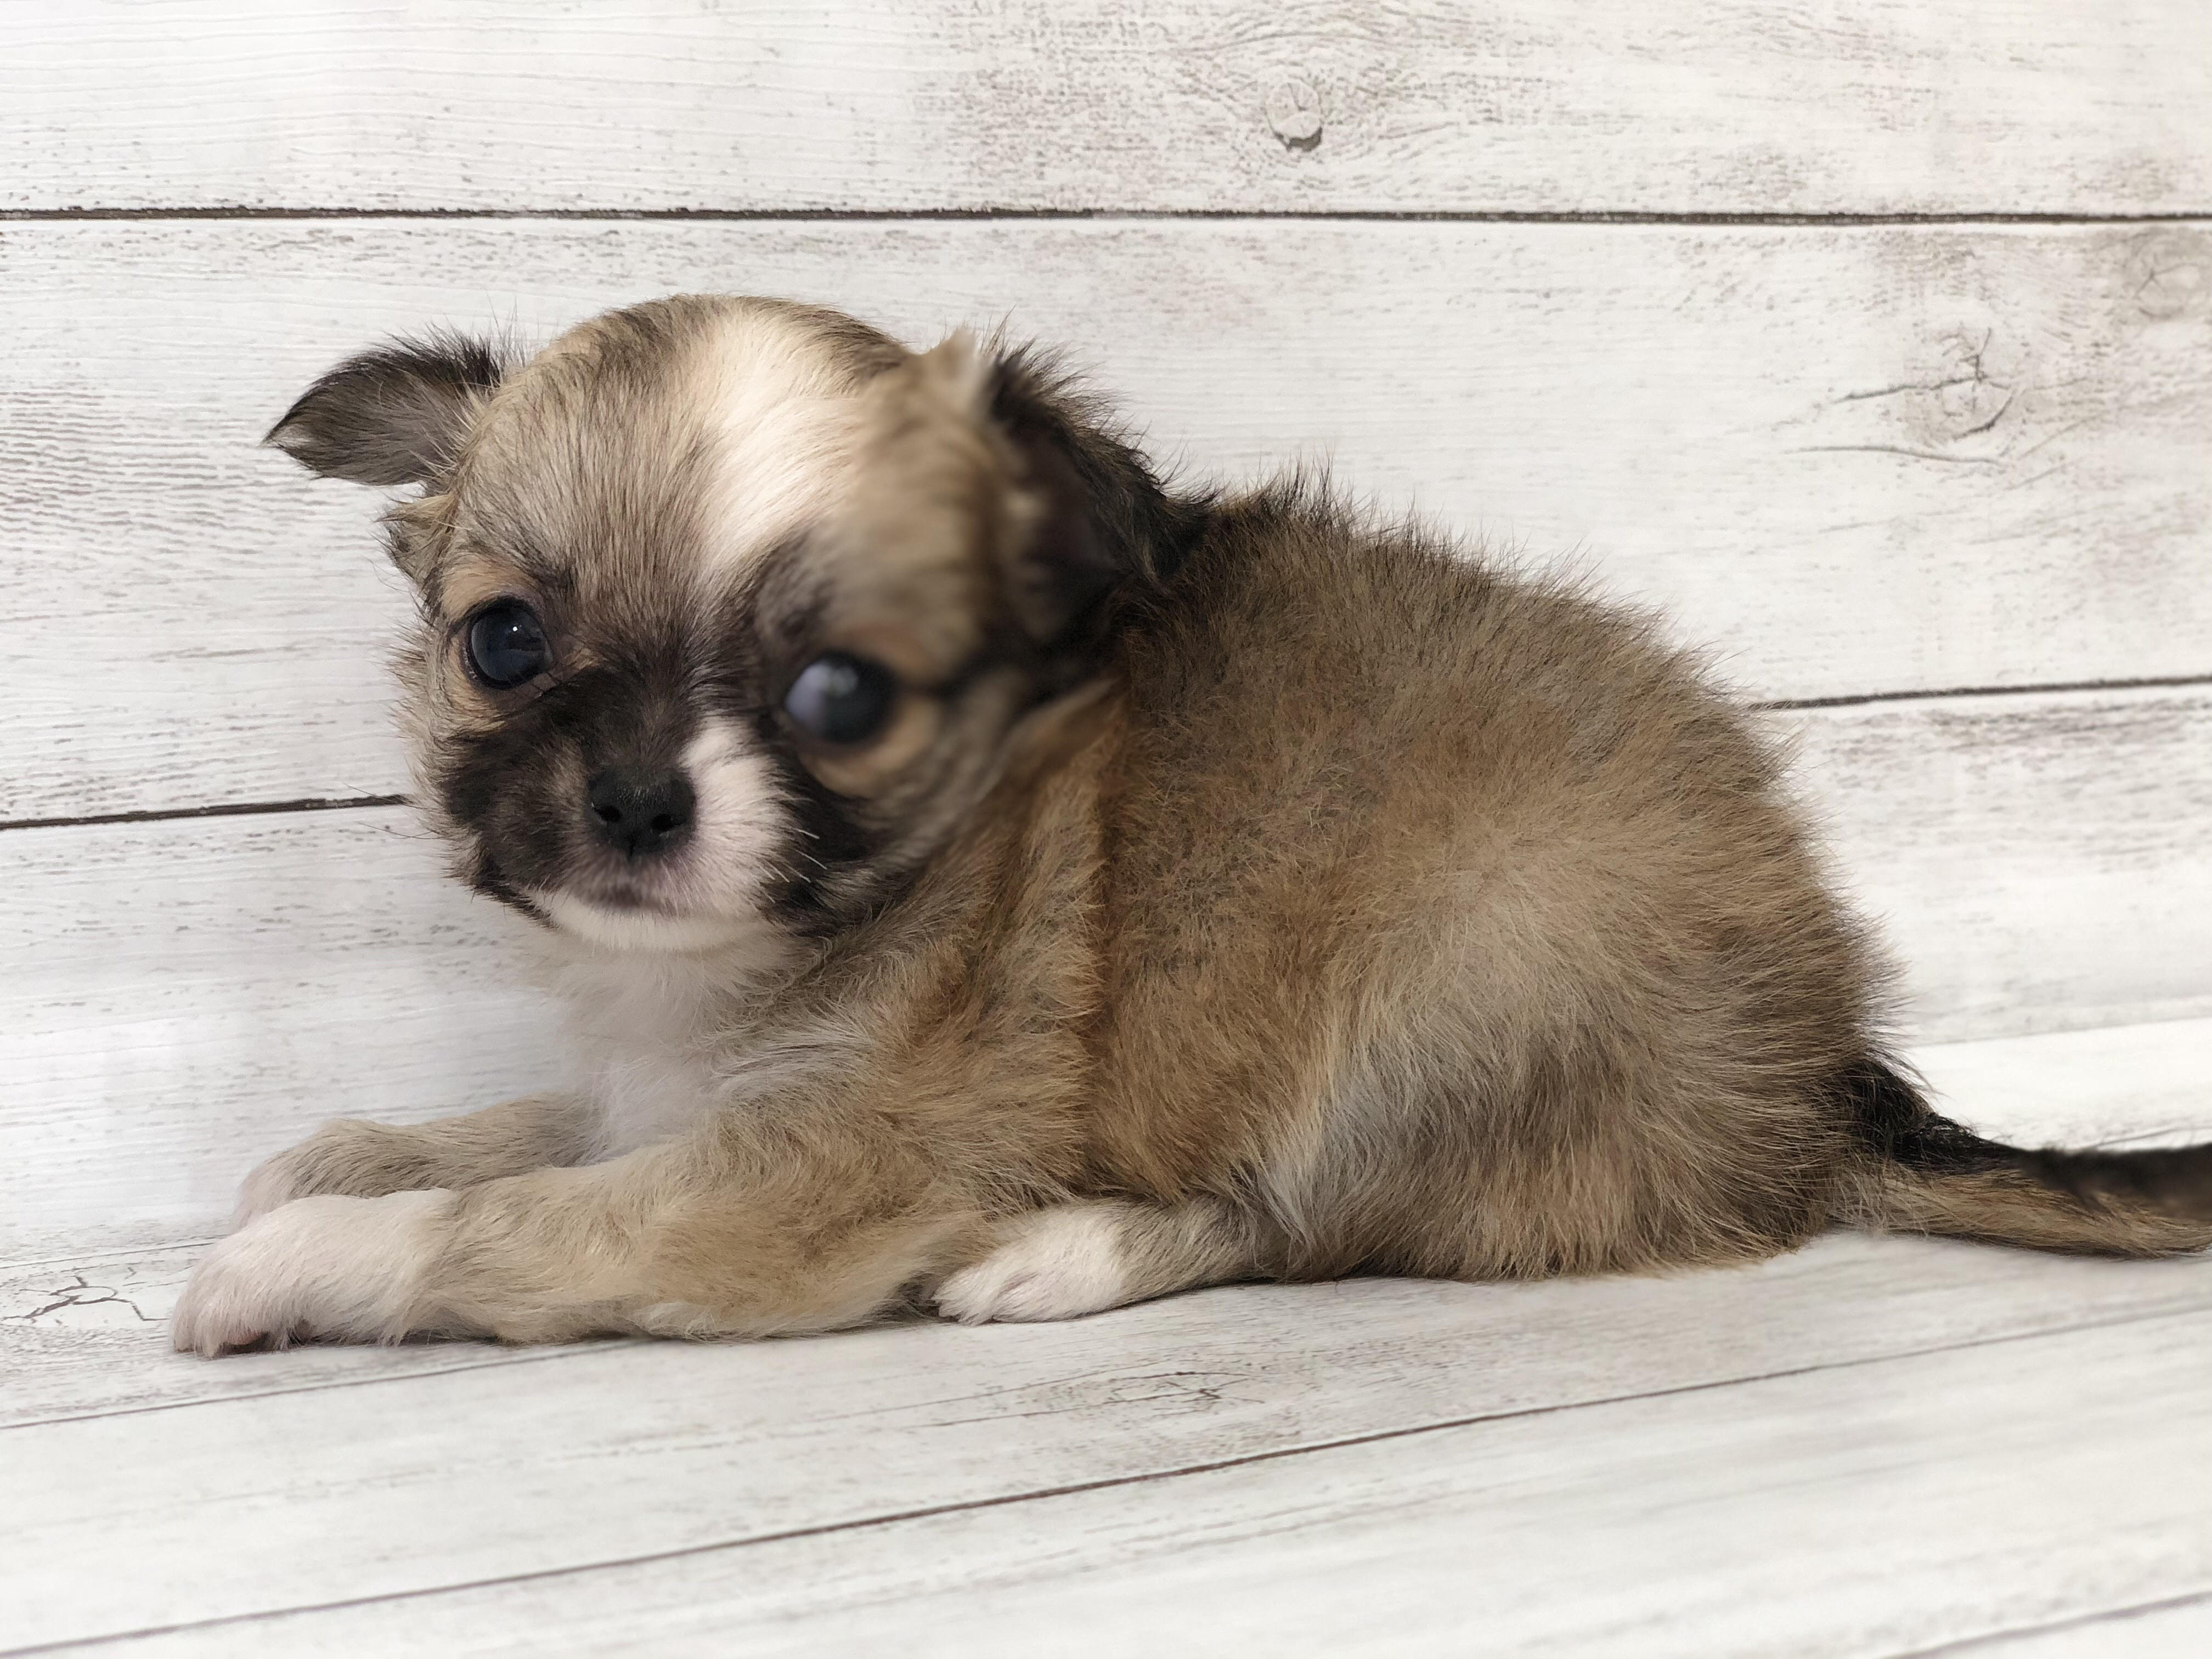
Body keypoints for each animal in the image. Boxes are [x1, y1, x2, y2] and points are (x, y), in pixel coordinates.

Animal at [177, 298, 2212, 1353]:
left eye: (843, 695)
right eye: (504, 644)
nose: (629, 796)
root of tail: (1816, 1088)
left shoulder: (813, 1172)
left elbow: (505, 1219)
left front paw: (286, 1265)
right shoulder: (662, 1089)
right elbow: (520, 1126)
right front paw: (340, 1154)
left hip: (1443, 1002)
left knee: (1306, 1225)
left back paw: (1057, 1254)